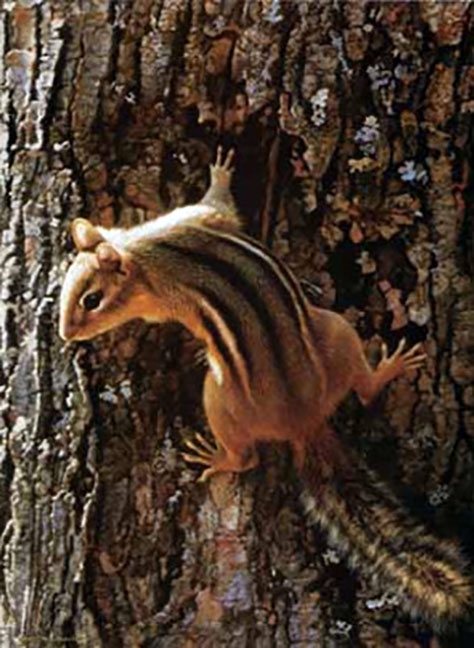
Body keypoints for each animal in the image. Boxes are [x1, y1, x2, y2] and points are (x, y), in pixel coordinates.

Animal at [59, 148, 471, 628]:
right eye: (66, 287)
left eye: (92, 300)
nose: (66, 335)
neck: (147, 252)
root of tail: (304, 421)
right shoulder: (193, 219)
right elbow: (219, 209)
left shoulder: (181, 250)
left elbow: (218, 206)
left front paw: (219, 172)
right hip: (337, 333)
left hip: (221, 395)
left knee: (252, 454)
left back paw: (219, 456)